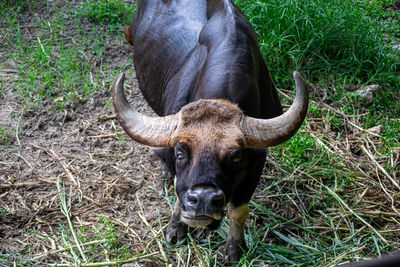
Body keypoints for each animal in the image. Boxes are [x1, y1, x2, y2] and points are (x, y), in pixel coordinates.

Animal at [112, 0, 310, 262]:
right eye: (180, 153)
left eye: (236, 156)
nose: (204, 200)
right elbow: (178, 187)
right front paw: (176, 229)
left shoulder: (256, 163)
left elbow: (239, 209)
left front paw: (234, 249)